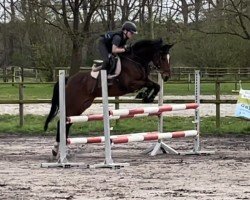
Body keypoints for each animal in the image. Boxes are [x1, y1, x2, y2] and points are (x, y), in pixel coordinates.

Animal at [44, 38, 173, 155]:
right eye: (162, 57)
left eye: (168, 58)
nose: (166, 76)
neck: (136, 60)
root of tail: (68, 79)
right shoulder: (130, 84)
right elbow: (151, 85)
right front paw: (146, 96)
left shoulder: (144, 80)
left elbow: (156, 85)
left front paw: (146, 96)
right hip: (73, 104)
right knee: (62, 122)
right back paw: (56, 150)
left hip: (82, 105)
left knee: (68, 122)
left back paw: (61, 148)